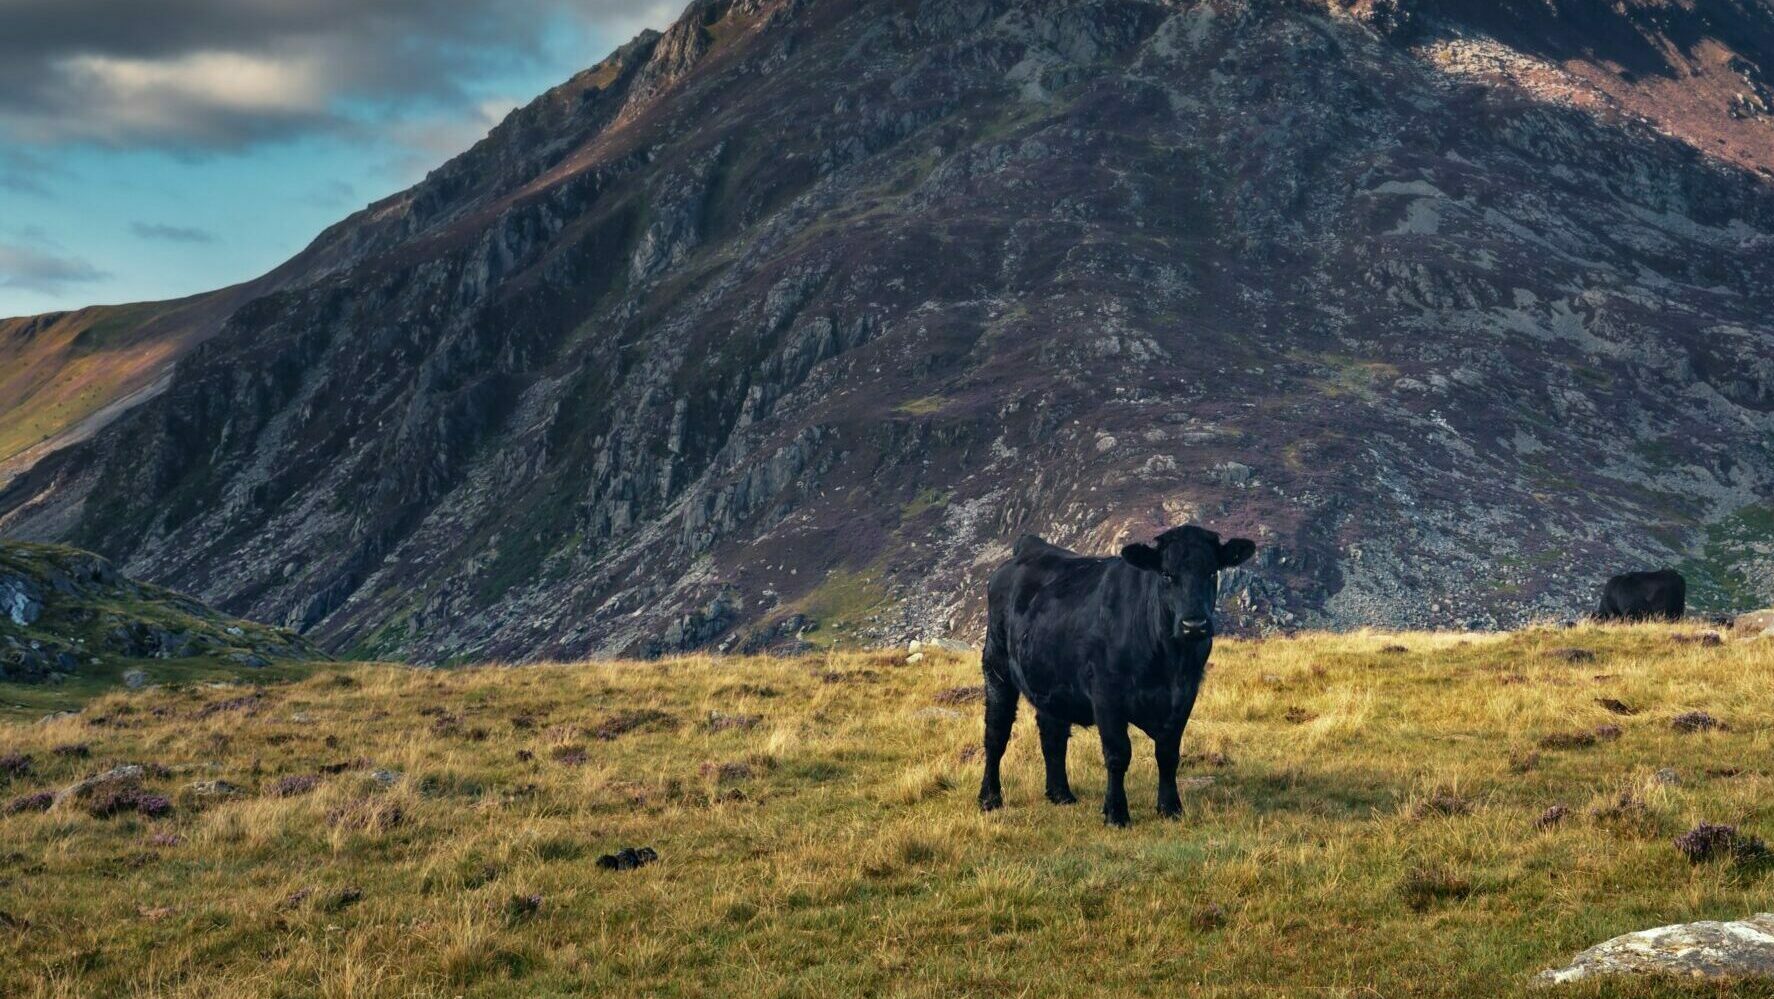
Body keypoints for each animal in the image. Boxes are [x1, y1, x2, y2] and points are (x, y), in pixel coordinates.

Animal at [978, 525, 1256, 827]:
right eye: (1166, 574)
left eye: (1212, 572)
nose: (1194, 625)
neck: (1168, 662)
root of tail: (1029, 547)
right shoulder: (1106, 694)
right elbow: (1118, 754)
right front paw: (1116, 812)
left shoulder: (1184, 694)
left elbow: (1168, 753)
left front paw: (1170, 807)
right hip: (996, 666)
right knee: (996, 733)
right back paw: (989, 798)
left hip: (1051, 678)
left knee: (1053, 734)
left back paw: (1060, 794)